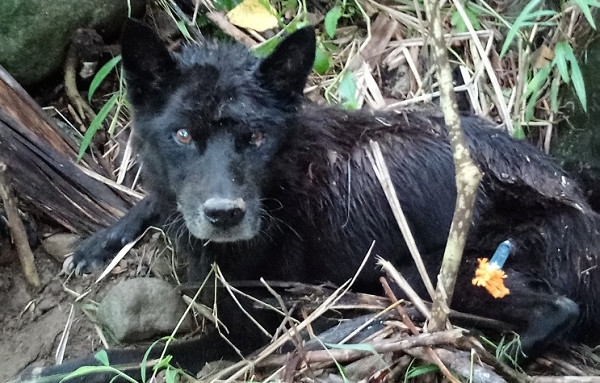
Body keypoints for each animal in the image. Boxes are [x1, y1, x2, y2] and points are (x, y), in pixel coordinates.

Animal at [17, 21, 600, 383]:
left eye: (254, 138)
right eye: (182, 135)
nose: (225, 215)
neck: (279, 182)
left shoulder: (246, 334)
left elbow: (146, 354)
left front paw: (59, 371)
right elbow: (154, 201)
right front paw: (98, 243)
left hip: (430, 270)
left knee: (555, 310)